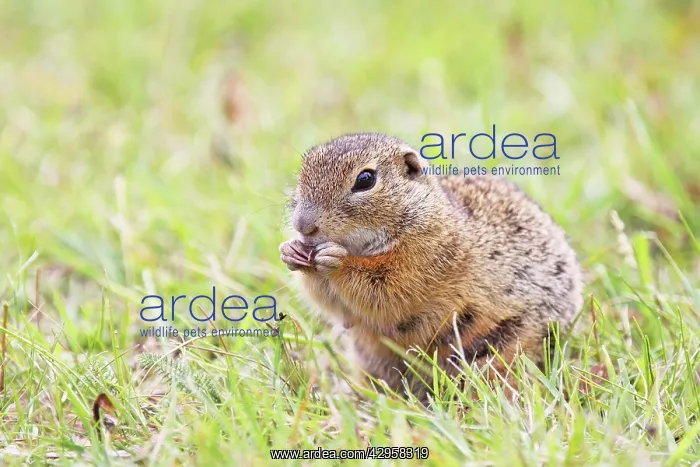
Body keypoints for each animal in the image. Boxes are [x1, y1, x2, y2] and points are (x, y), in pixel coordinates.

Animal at [279, 133, 583, 401]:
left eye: (365, 180)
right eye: (303, 172)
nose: (303, 225)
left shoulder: (425, 256)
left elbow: (385, 290)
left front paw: (337, 261)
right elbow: (336, 307)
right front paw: (291, 251)